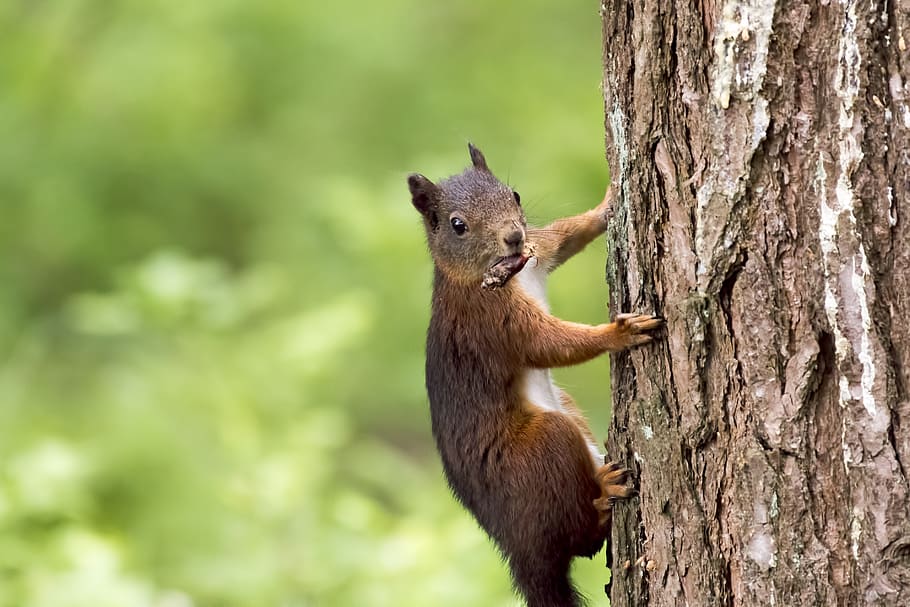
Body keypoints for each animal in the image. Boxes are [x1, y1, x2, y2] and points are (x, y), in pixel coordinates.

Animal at [408, 144, 663, 607]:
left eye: (515, 195)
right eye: (458, 225)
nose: (512, 236)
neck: (506, 269)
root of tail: (518, 550)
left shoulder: (539, 249)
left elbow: (568, 234)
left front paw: (608, 202)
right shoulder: (493, 321)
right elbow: (549, 344)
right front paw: (618, 333)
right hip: (546, 443)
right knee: (580, 541)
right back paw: (604, 498)